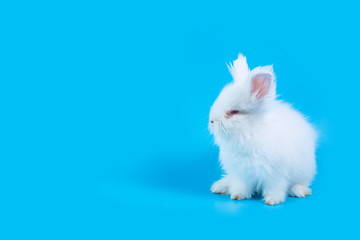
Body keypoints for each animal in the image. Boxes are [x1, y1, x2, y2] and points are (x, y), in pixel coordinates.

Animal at [210, 53, 316, 205]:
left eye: (233, 112)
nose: (211, 121)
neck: (248, 134)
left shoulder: (275, 174)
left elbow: (274, 188)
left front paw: (272, 200)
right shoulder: (242, 173)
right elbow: (241, 186)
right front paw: (237, 196)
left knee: (301, 183)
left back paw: (299, 191)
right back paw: (220, 187)